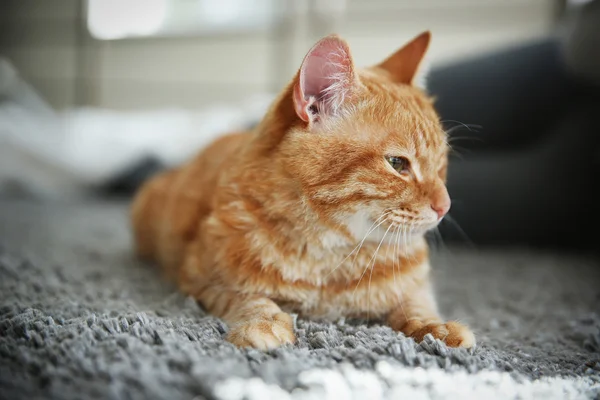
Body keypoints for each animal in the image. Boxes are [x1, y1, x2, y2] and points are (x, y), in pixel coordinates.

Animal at [129, 31, 476, 350]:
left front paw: (437, 328)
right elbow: (247, 298)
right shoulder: (199, 279)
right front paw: (263, 323)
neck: (333, 258)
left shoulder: (416, 285)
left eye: (441, 166)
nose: (445, 206)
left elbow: (417, 305)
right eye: (397, 163)